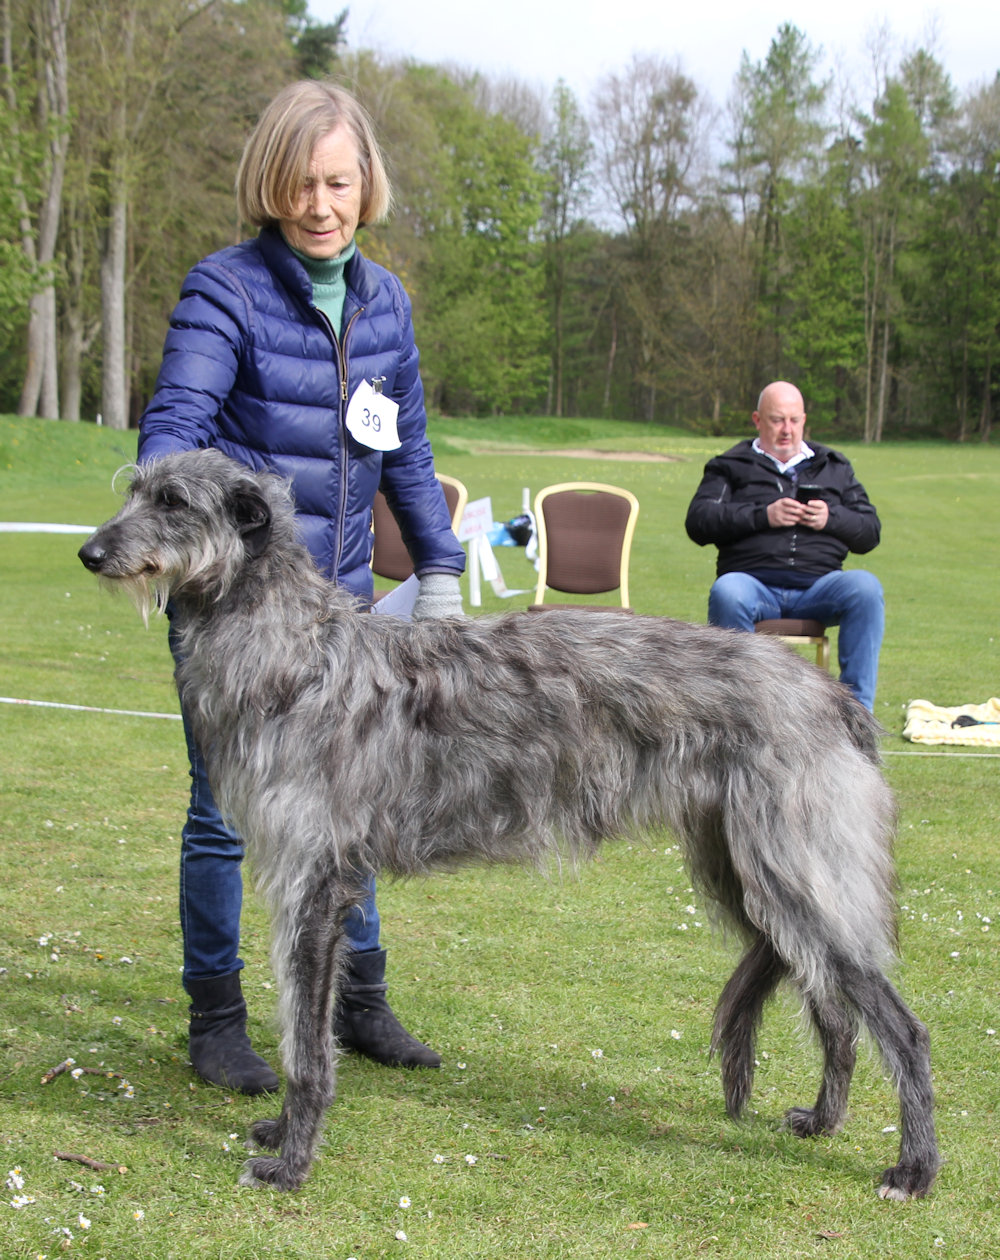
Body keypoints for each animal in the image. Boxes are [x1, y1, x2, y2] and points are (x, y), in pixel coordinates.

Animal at [78, 453, 937, 1199]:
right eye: (137, 488)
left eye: (173, 501)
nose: (89, 553)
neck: (298, 654)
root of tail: (834, 697)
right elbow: (300, 1028)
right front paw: (281, 1136)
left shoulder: (314, 882)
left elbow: (306, 1045)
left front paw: (291, 1161)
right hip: (747, 874)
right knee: (833, 1007)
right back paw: (823, 1121)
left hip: (795, 869)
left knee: (896, 1022)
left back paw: (914, 1169)